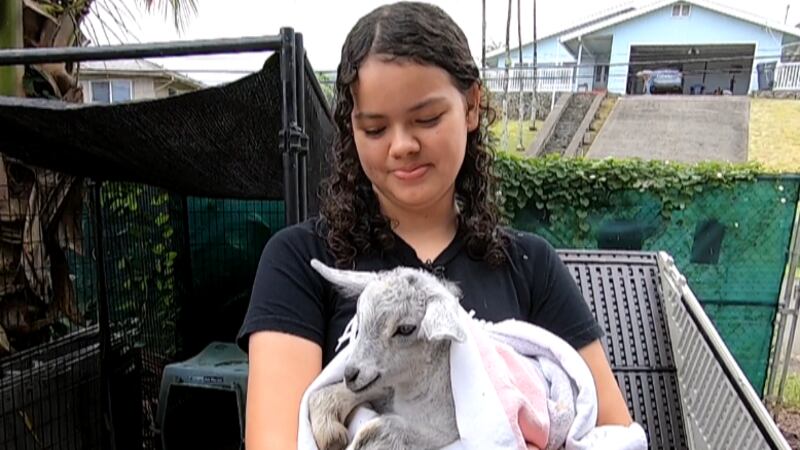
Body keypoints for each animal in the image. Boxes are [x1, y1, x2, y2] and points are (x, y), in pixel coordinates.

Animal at [308, 259, 465, 450]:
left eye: (405, 328)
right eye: (360, 319)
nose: (350, 374)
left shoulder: (447, 431)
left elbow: (376, 430)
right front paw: (330, 433)